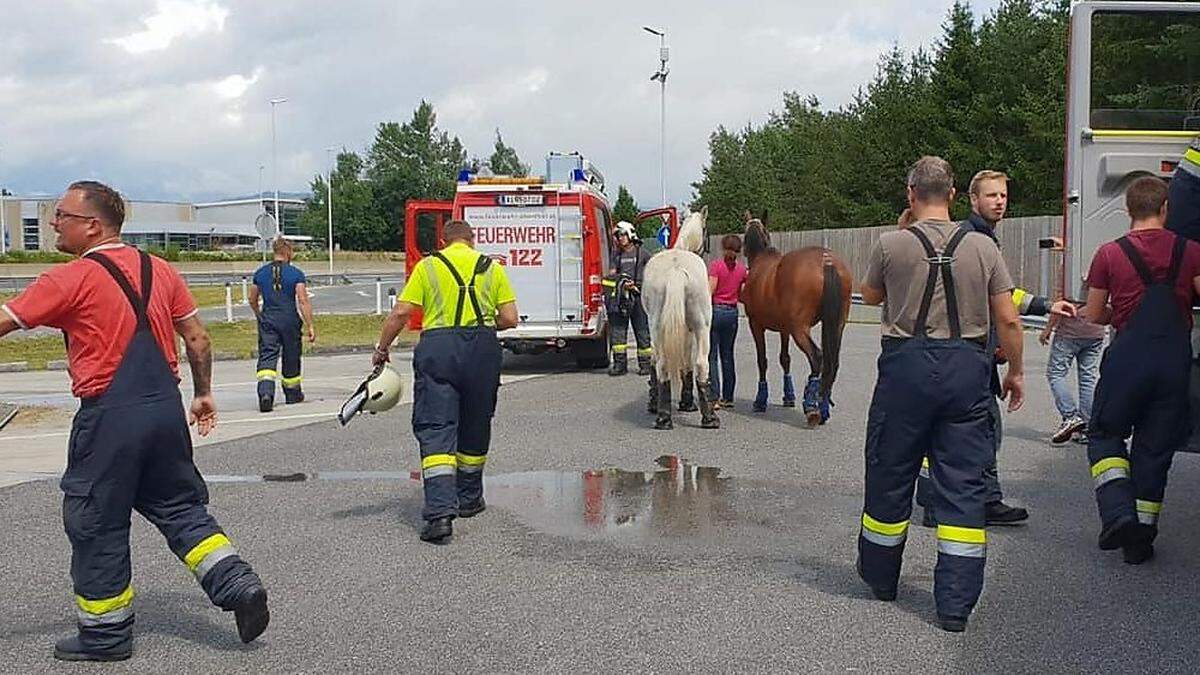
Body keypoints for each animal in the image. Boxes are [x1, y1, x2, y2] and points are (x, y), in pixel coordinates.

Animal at [643, 205, 715, 427]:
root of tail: (675, 270)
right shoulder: (690, 332)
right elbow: (687, 364)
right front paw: (687, 402)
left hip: (656, 327)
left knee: (662, 364)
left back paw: (663, 418)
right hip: (702, 327)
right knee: (700, 363)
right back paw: (710, 418)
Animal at [739, 212, 854, 422]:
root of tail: (827, 262)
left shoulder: (755, 325)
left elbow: (762, 361)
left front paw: (760, 400)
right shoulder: (784, 329)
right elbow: (785, 359)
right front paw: (788, 396)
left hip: (799, 329)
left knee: (817, 357)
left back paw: (812, 407)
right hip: (837, 325)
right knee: (832, 362)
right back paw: (822, 406)